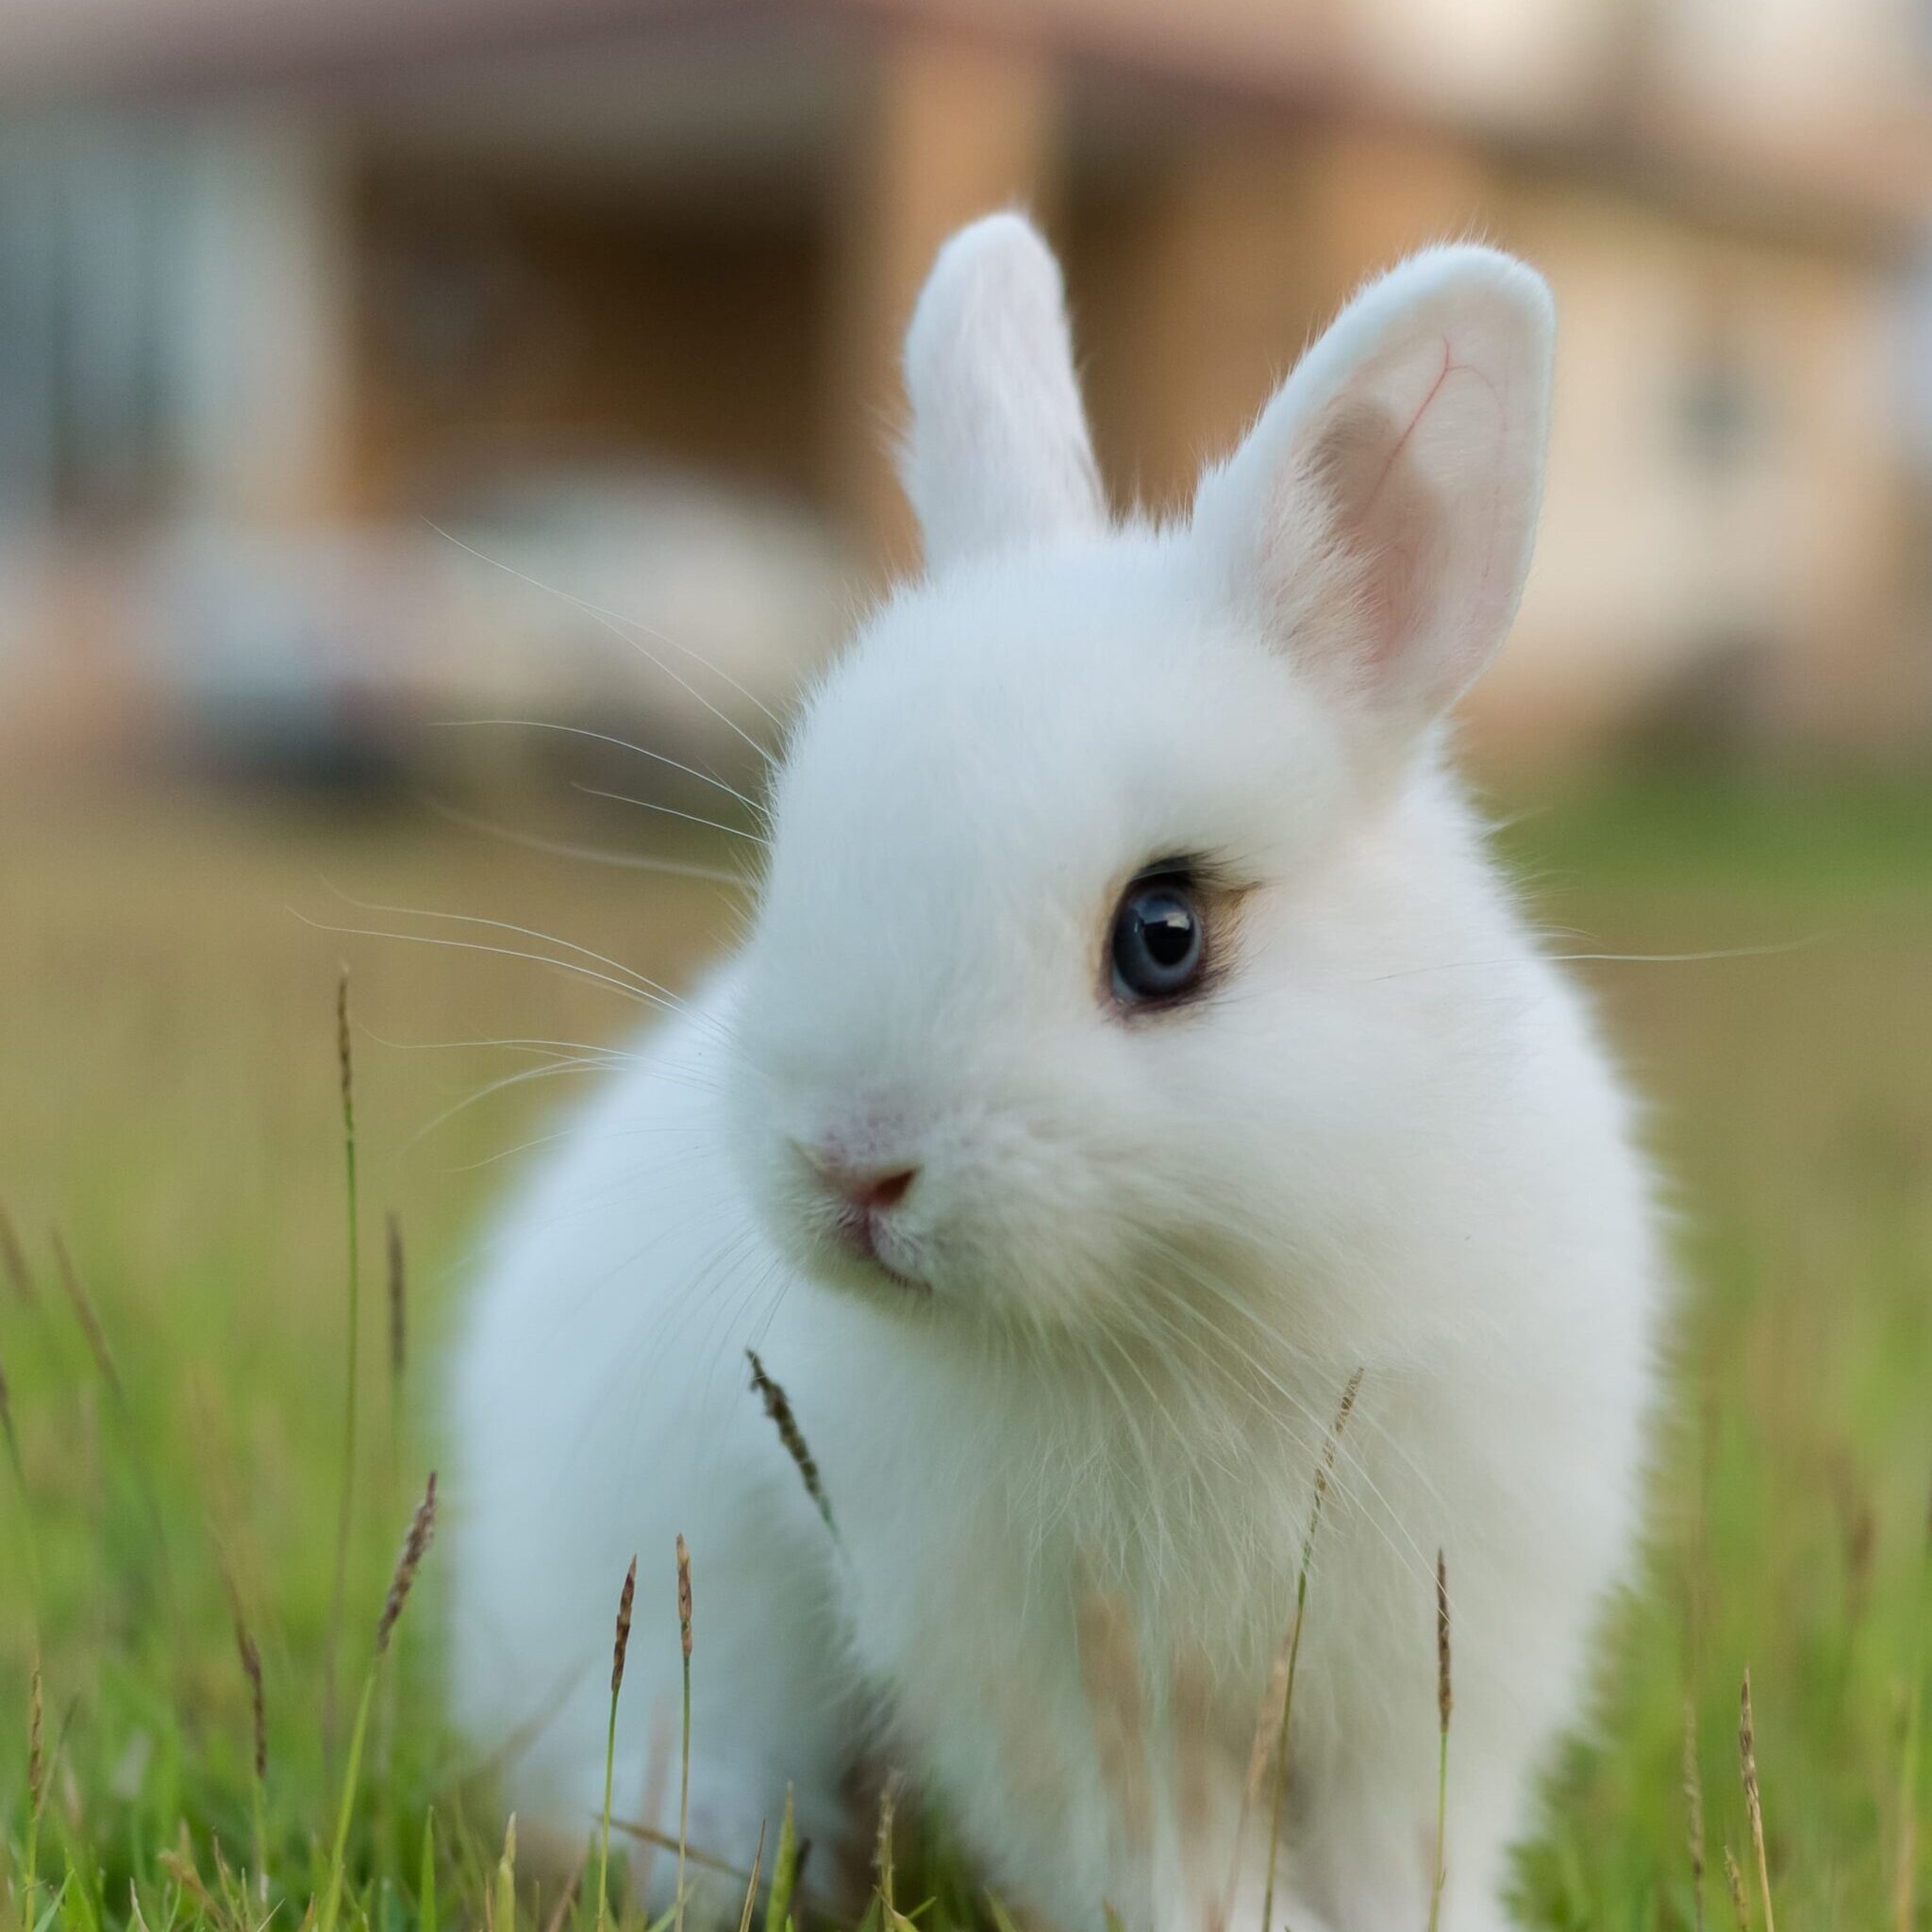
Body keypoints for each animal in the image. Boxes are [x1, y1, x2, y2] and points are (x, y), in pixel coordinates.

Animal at [448, 212, 1664, 1932]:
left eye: (1163, 933)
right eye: (793, 853)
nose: (850, 1164)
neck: (1201, 1313)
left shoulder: (1435, 1669)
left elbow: (1402, 1847)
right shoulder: (1062, 1693)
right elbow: (1163, 1860)